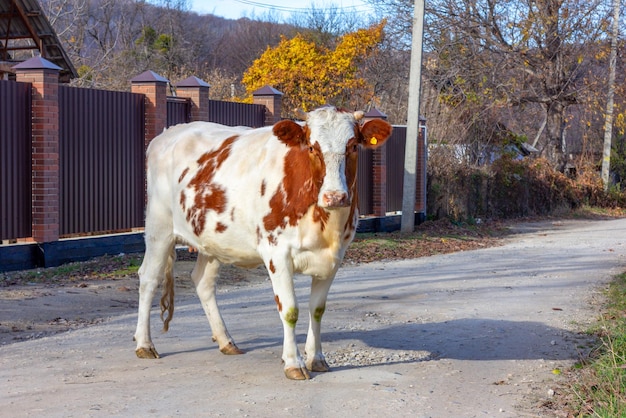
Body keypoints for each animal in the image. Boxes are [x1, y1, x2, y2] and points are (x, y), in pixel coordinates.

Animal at [133, 104, 390, 378]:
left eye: (353, 147)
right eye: (312, 147)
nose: (335, 196)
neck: (324, 224)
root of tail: (169, 132)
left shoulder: (334, 257)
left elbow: (317, 309)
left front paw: (317, 358)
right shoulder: (277, 252)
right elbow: (290, 310)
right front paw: (294, 362)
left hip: (212, 239)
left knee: (203, 282)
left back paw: (226, 341)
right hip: (159, 227)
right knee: (149, 278)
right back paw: (144, 344)